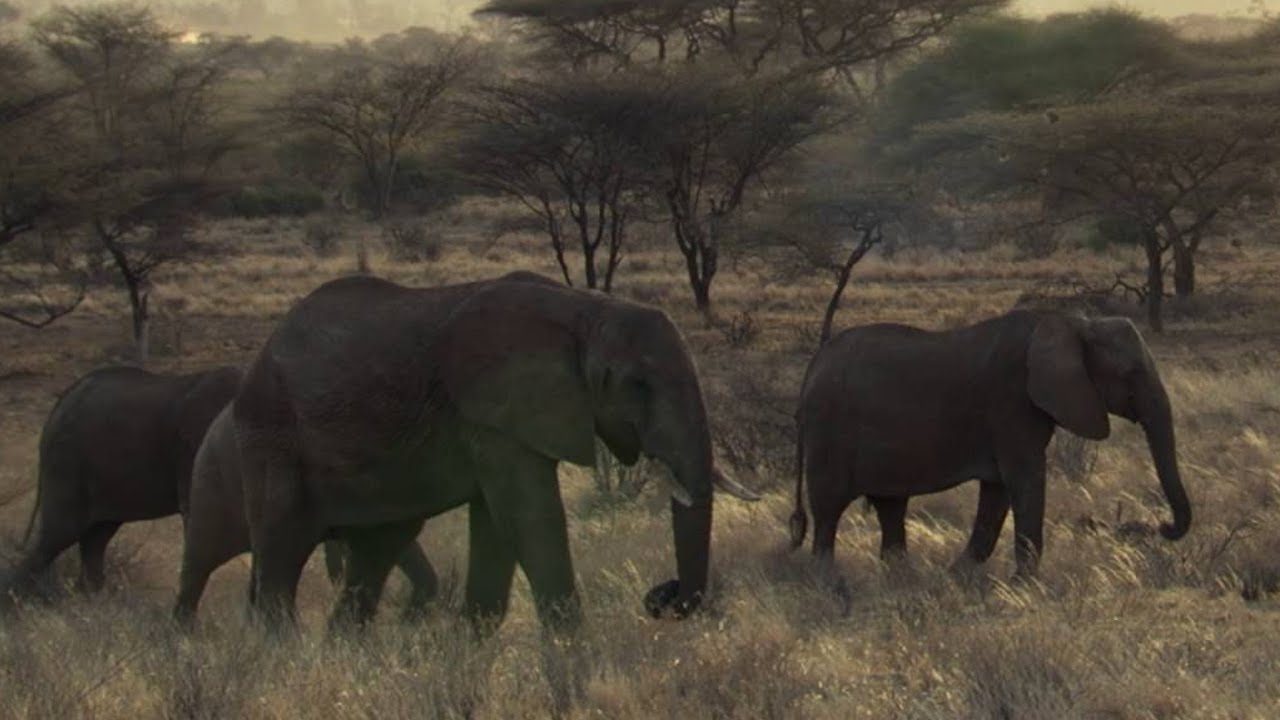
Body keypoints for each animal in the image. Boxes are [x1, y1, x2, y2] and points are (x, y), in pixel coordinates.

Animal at [227, 272, 759, 632]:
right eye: (638, 385)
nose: (661, 594)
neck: (585, 311)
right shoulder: (493, 412)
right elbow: (530, 518)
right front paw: (571, 648)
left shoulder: (499, 423)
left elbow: (496, 527)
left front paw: (471, 647)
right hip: (271, 437)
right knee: (281, 551)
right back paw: (283, 655)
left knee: (375, 551)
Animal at [790, 309, 1191, 581]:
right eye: (1129, 374)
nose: (1159, 527)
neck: (1074, 322)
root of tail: (813, 364)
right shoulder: (1011, 401)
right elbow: (1026, 481)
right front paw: (1026, 585)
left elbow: (998, 492)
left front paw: (958, 578)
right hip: (829, 427)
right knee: (829, 508)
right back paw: (827, 580)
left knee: (891, 506)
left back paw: (901, 577)